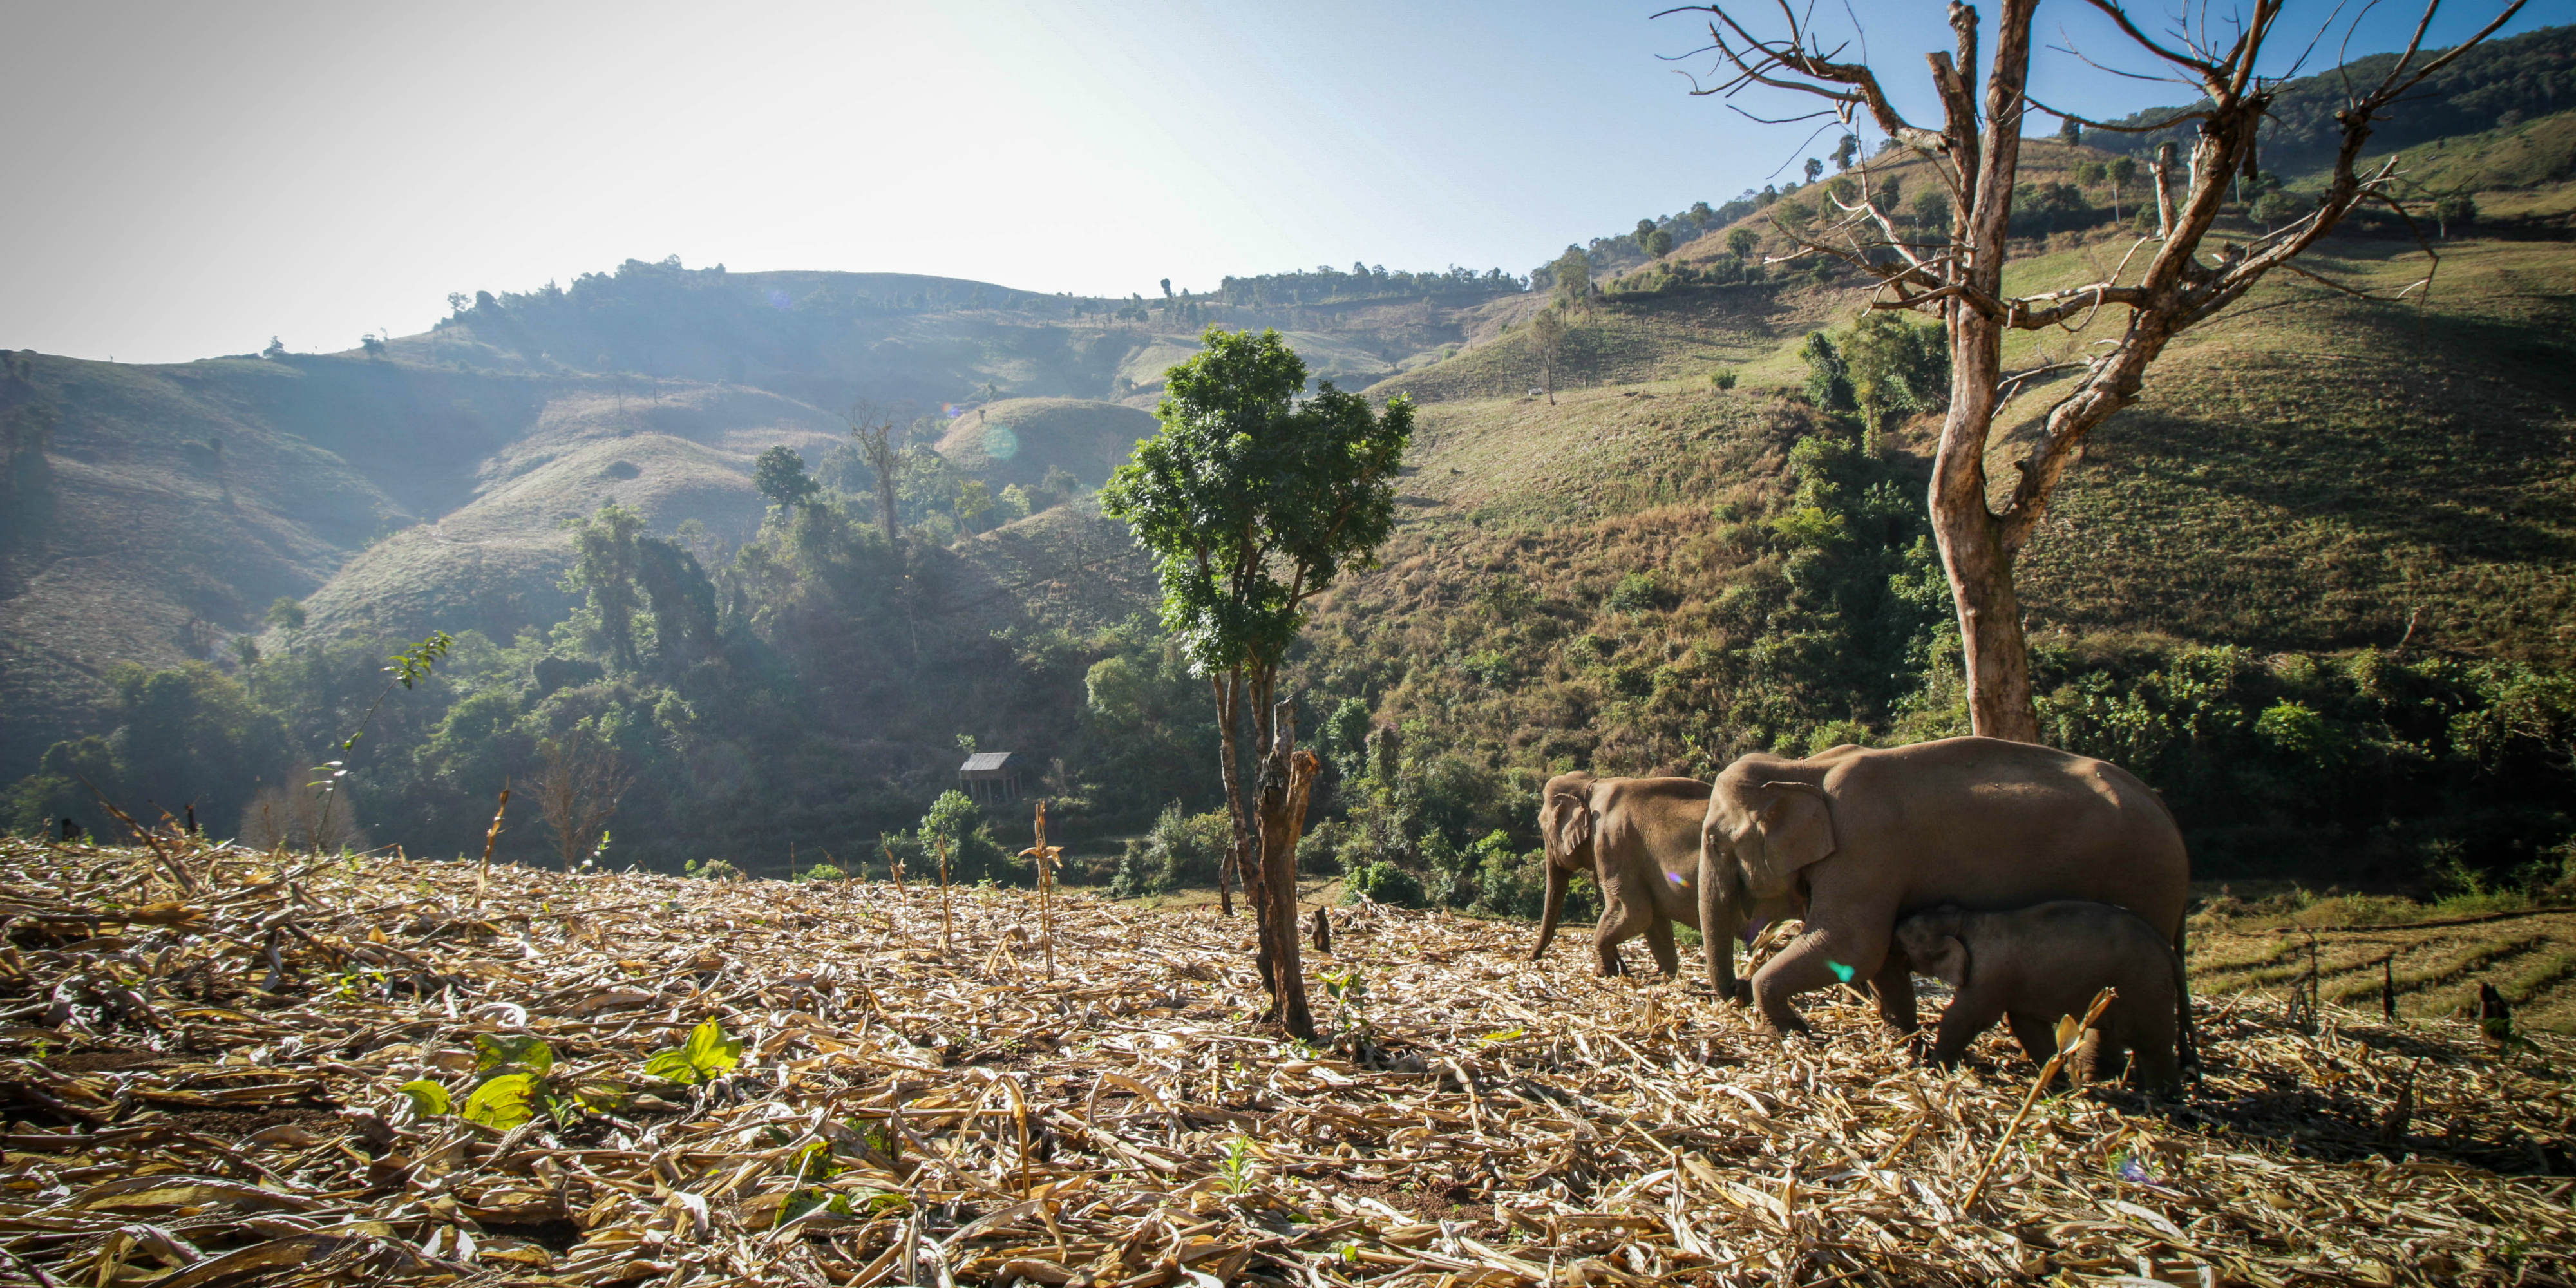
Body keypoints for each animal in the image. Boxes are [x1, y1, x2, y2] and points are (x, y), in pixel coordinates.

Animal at [1533, 772, 1801, 989]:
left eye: (1543, 829)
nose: (1533, 958)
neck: (1592, 783)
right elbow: (1655, 921)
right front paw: (1662, 976)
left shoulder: (1612, 842)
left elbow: (1634, 912)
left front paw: (1603, 974)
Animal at [1697, 736, 2190, 1039]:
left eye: (1714, 840)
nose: (1739, 987)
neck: (1806, 768)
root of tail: (2163, 806)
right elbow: (1877, 957)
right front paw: (1900, 1036)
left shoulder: (1867, 849)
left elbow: (1852, 945)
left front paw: (1791, 1029)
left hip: (2145, 882)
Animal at [1895, 901, 2192, 1091]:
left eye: (1905, 938)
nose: (1895, 925)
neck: (1967, 921)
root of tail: (2167, 950)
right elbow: (2027, 1025)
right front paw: (2055, 1083)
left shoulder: (1989, 974)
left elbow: (1965, 1017)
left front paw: (1932, 1067)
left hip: (2145, 988)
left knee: (2152, 1043)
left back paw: (2163, 1099)